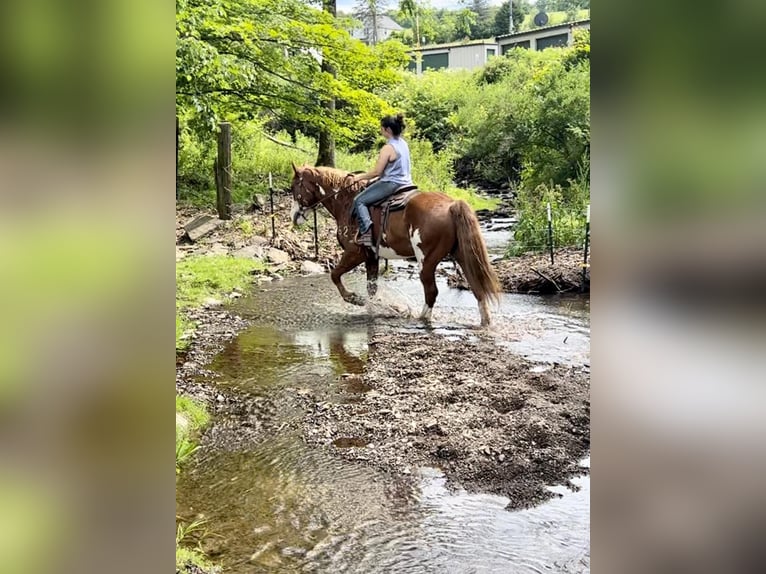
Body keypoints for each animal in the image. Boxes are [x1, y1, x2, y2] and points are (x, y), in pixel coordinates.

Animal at [292, 164, 500, 326]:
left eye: (294, 187)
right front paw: (372, 307)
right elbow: (371, 288)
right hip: (462, 256)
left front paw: (355, 299)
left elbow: (335, 275)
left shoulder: (354, 253)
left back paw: (420, 318)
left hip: (426, 261)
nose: (294, 216)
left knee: (431, 291)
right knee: (477, 288)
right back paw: (485, 321)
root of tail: (451, 205)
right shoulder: (371, 256)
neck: (347, 201)